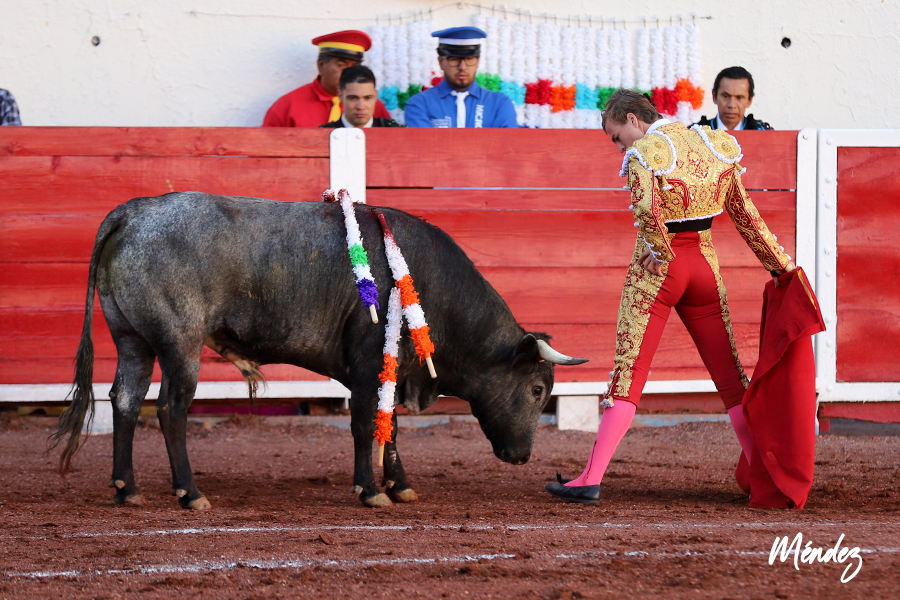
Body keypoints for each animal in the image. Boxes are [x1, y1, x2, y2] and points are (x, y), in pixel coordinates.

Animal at [52, 192, 587, 508]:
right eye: (536, 389)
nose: (522, 456)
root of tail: (134, 211)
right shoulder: (371, 363)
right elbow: (366, 424)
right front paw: (371, 491)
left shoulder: (391, 370)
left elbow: (390, 426)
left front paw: (400, 486)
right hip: (179, 344)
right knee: (170, 408)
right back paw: (190, 493)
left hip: (132, 341)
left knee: (124, 400)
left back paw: (127, 489)